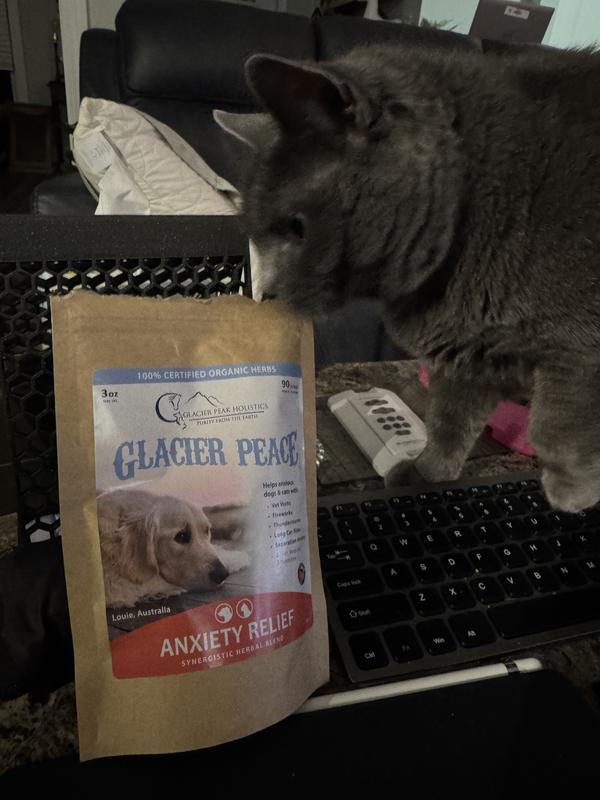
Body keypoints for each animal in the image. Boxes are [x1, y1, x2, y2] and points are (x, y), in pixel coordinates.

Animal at [214, 44, 600, 513]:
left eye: (297, 228)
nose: (267, 292)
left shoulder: (579, 346)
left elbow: (555, 424)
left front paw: (573, 492)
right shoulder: (473, 354)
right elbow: (450, 421)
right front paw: (425, 473)